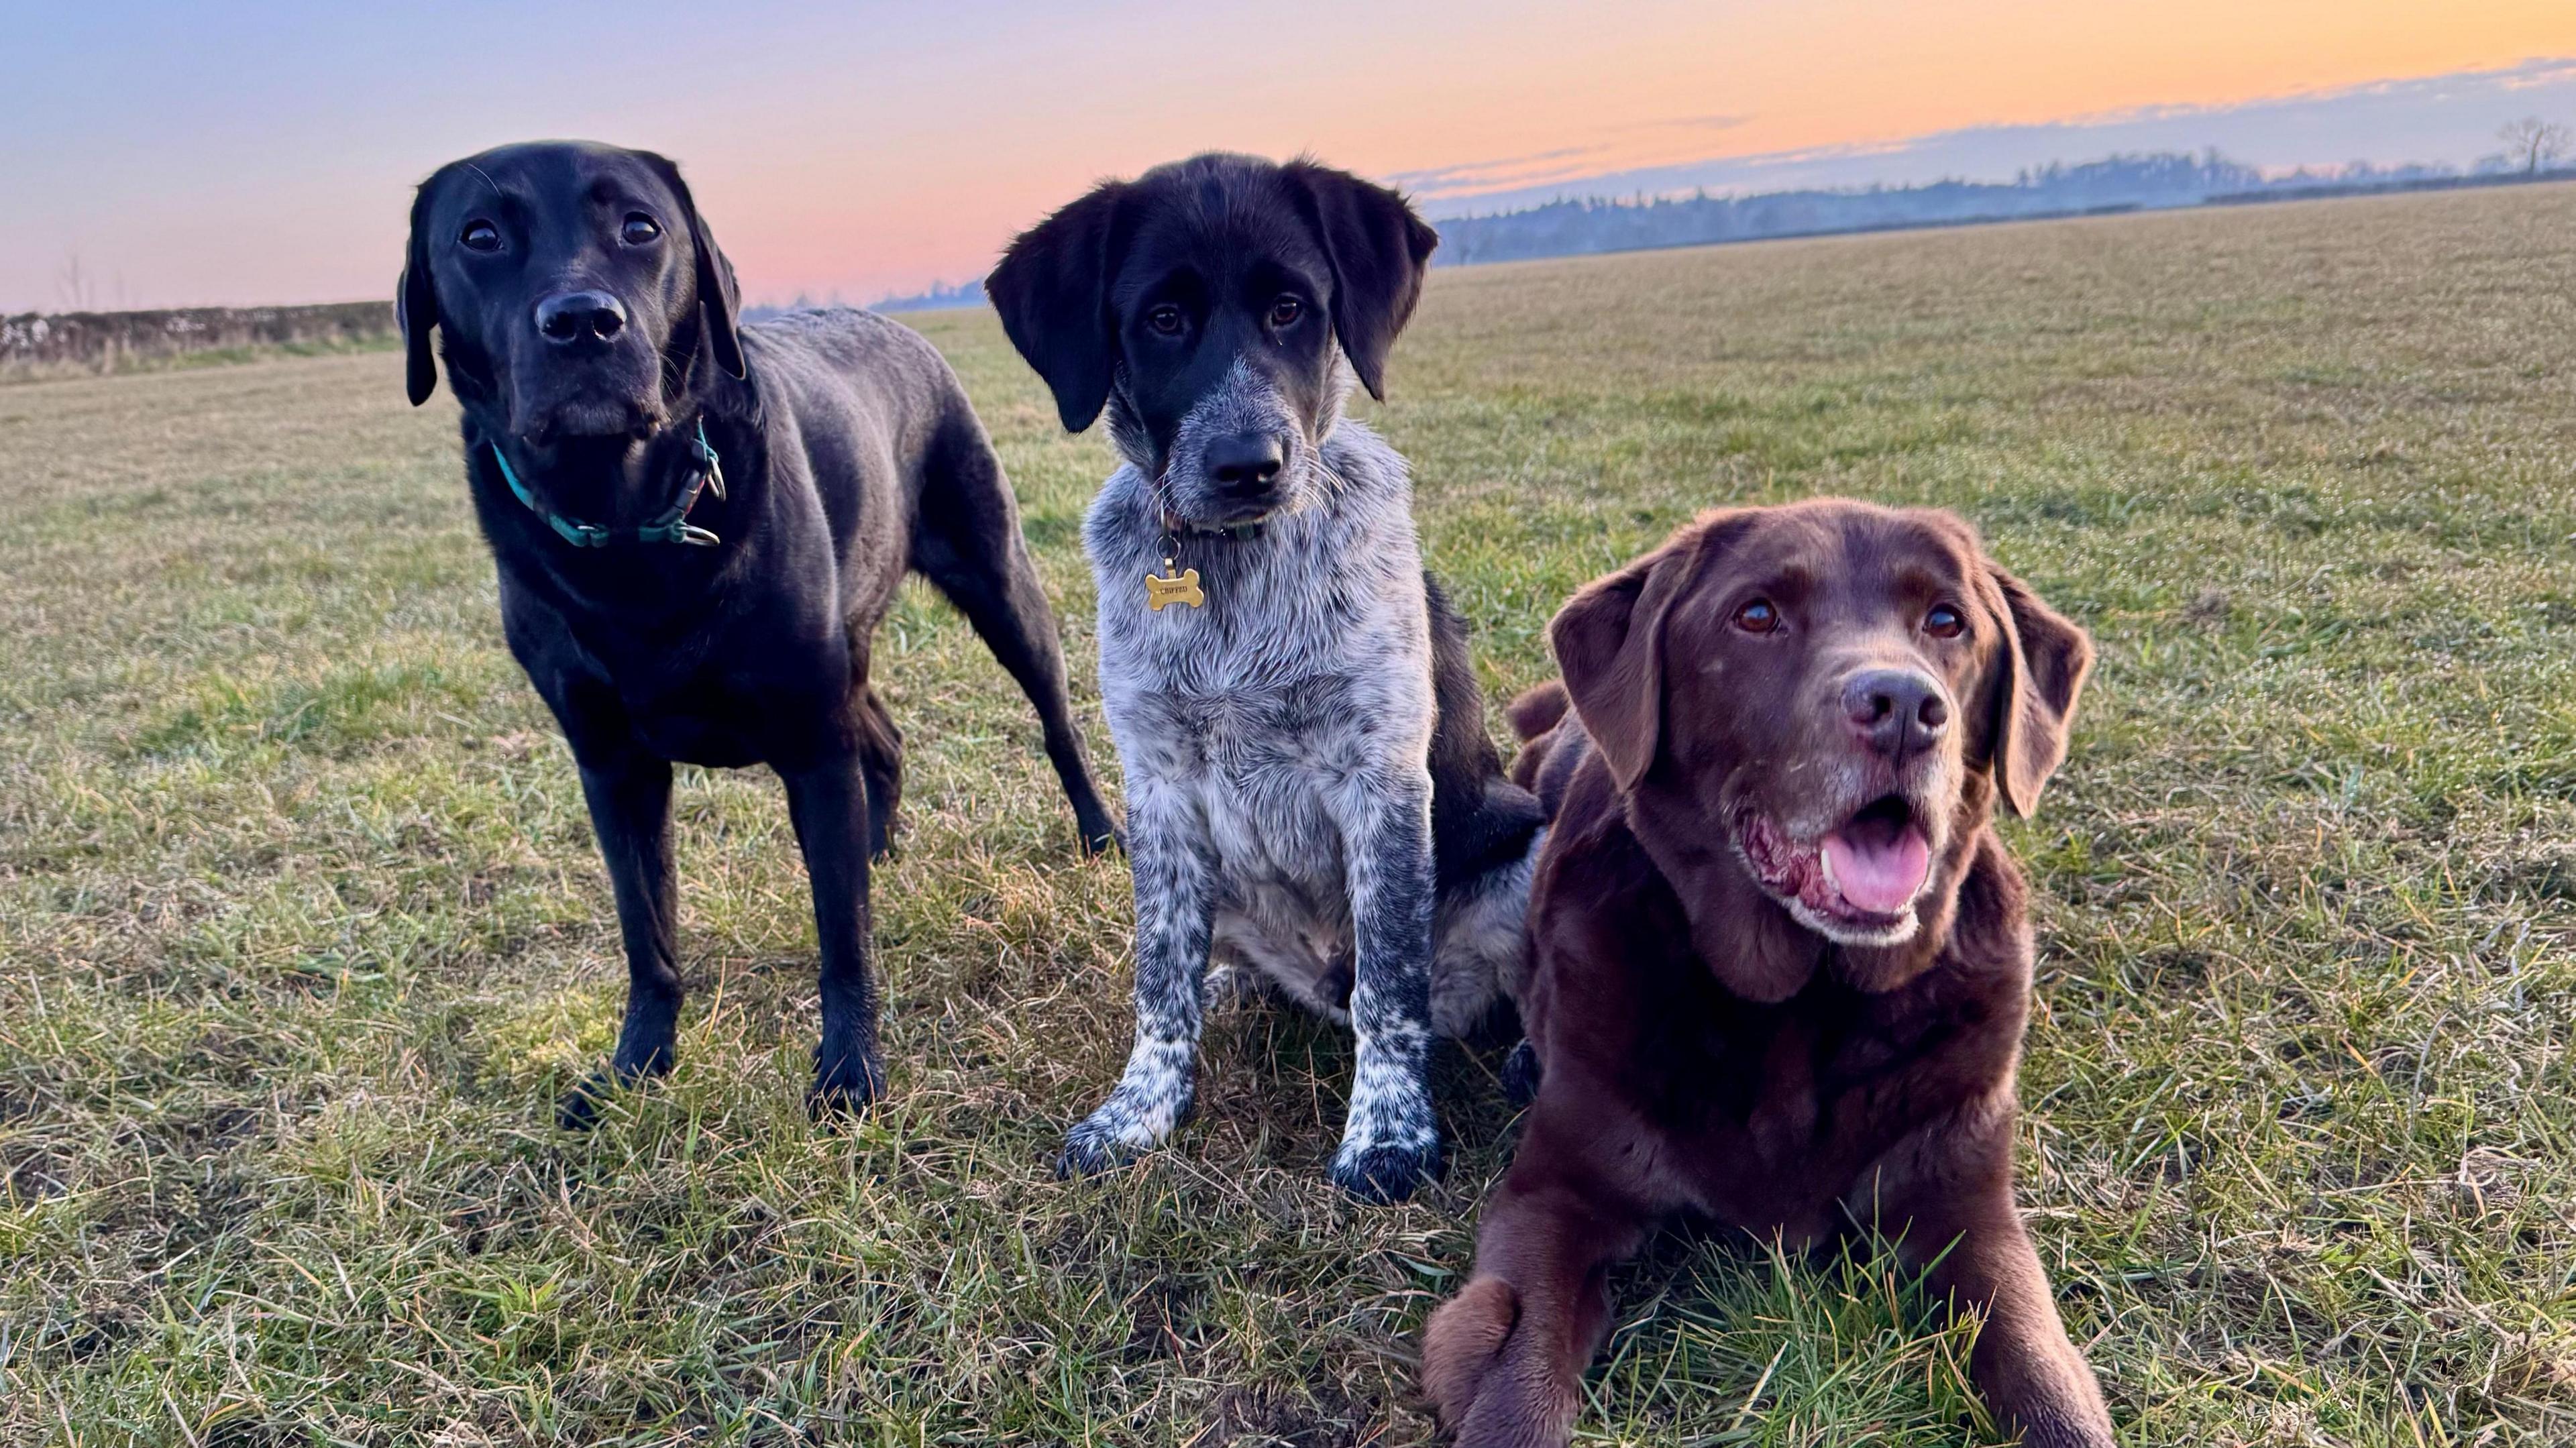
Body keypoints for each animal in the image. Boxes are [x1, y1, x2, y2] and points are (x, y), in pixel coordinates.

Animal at [402, 144, 1118, 1118]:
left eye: (641, 227)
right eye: (480, 237)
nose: (583, 322)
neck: (626, 520)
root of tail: (897, 326)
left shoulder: (811, 740)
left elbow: (842, 934)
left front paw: (850, 1069)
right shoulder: (612, 767)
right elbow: (648, 933)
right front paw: (637, 1065)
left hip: (1001, 583)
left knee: (1055, 722)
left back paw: (1099, 834)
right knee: (883, 741)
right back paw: (879, 848)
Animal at [989, 155, 1546, 1195]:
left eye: (1291, 309)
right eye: (1163, 318)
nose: (1249, 464)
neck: (1234, 568)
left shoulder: (1383, 781)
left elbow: (1390, 986)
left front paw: (1388, 1133)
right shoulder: (1158, 791)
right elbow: (1159, 980)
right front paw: (1138, 1110)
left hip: (1529, 842)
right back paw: (1234, 982)